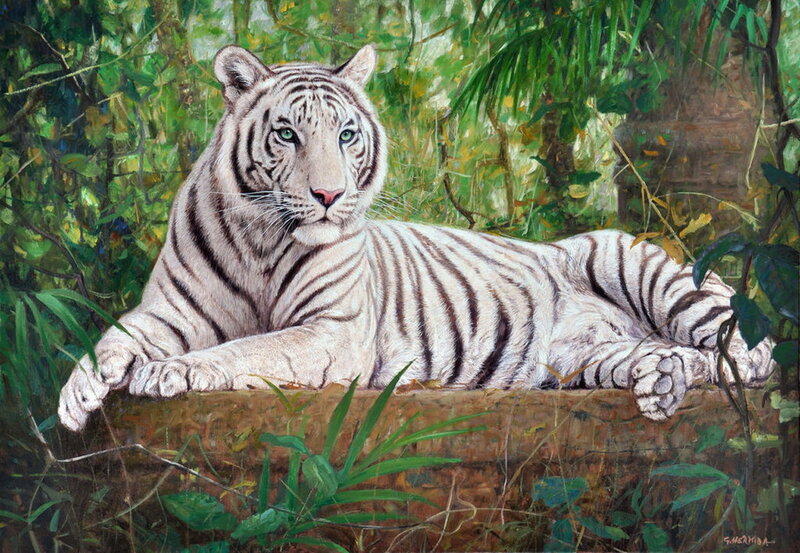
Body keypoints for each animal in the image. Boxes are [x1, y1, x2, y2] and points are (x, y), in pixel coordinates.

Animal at [58, 44, 774, 432]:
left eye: (347, 134)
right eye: (287, 133)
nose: (329, 196)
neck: (259, 235)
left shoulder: (331, 330)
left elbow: (249, 350)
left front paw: (169, 372)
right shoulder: (168, 311)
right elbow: (113, 338)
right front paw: (75, 396)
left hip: (644, 269)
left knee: (747, 356)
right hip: (580, 359)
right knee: (676, 357)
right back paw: (660, 381)